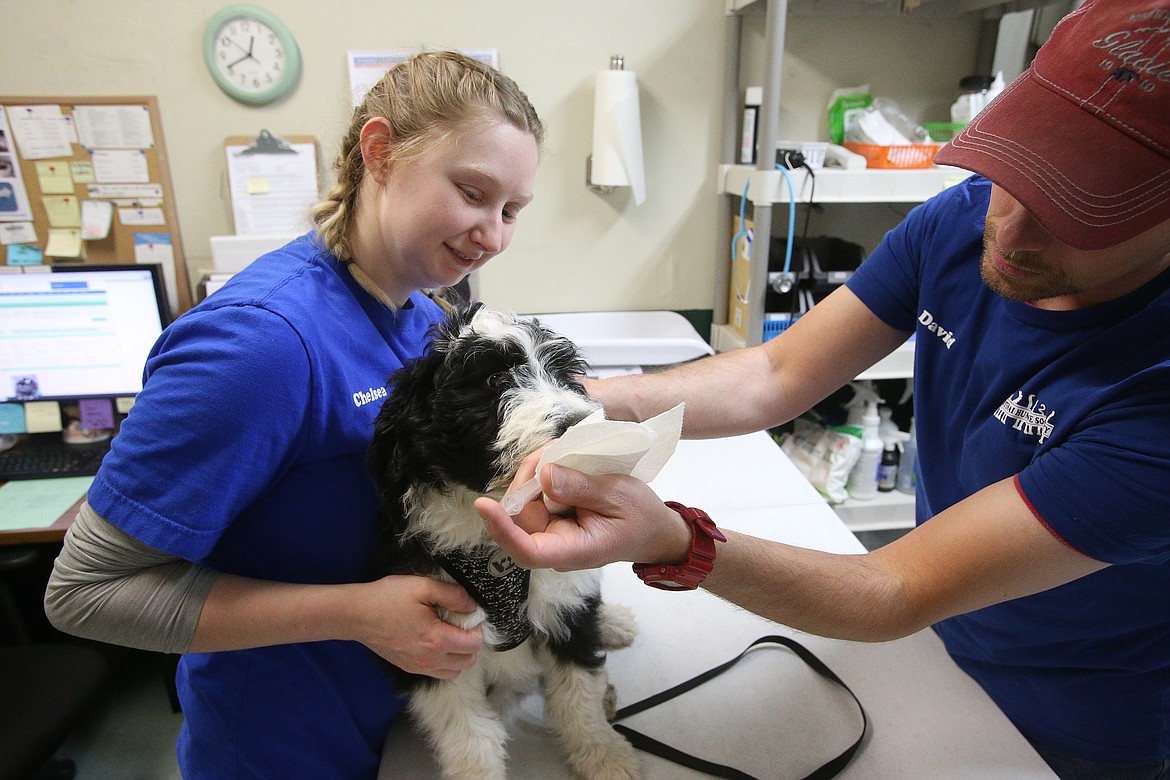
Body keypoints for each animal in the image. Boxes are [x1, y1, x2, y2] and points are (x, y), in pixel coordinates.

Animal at [367, 304, 641, 780]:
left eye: (563, 374)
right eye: (493, 380)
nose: (579, 425)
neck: (496, 546)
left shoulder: (564, 602)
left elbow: (577, 692)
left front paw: (606, 756)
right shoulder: (433, 648)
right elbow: (468, 734)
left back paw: (613, 625)